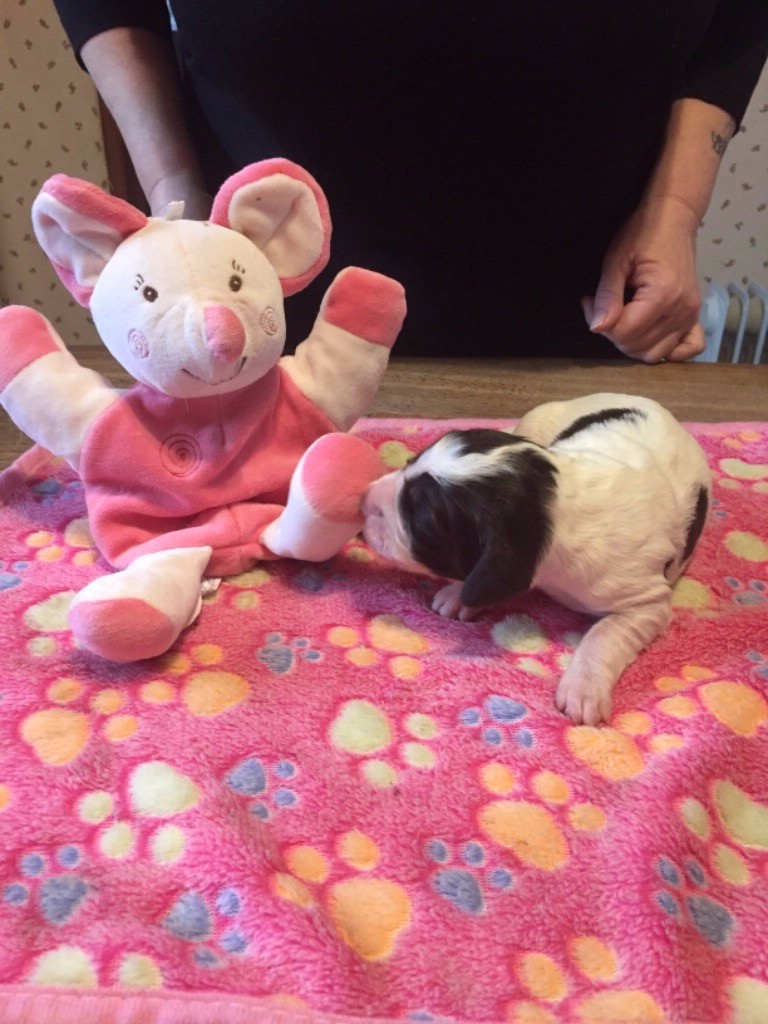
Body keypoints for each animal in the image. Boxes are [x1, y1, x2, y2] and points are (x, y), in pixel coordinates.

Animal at [362, 393, 711, 725]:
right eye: (409, 461)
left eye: (420, 517)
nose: (363, 499)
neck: (555, 506)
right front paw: (459, 596)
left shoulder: (646, 602)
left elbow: (605, 633)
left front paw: (583, 689)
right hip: (537, 419)